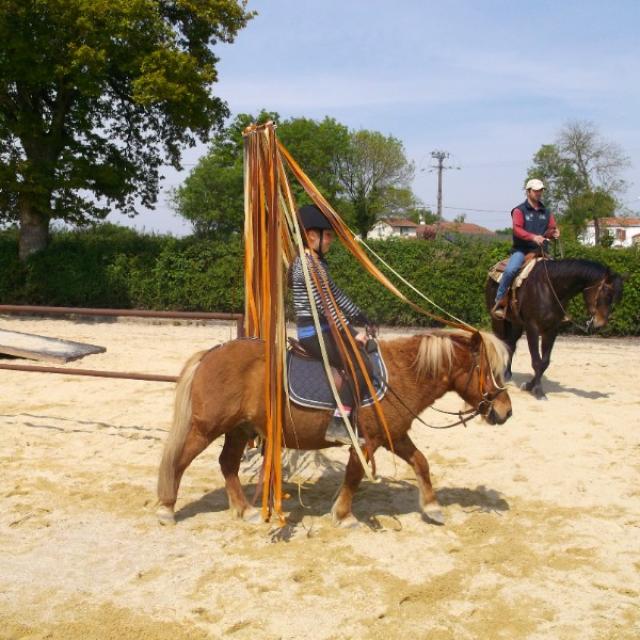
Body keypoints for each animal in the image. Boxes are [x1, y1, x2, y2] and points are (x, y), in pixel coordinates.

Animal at [158, 328, 512, 528]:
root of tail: (209, 354)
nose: (505, 411)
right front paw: (343, 515)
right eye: (489, 371)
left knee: (227, 464)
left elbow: (421, 463)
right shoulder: (367, 440)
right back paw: (166, 508)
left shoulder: (394, 435)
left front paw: (433, 507)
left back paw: (244, 510)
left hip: (240, 429)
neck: (397, 375)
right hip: (206, 428)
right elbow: (354, 475)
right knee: (179, 462)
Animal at [488, 256, 624, 398]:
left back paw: (507, 374)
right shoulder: (532, 328)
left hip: (516, 323)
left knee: (511, 345)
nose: (600, 324)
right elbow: (536, 361)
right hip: (498, 321)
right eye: (606, 294)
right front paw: (538, 391)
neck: (549, 287)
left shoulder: (552, 329)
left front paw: (529, 385)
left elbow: (544, 362)